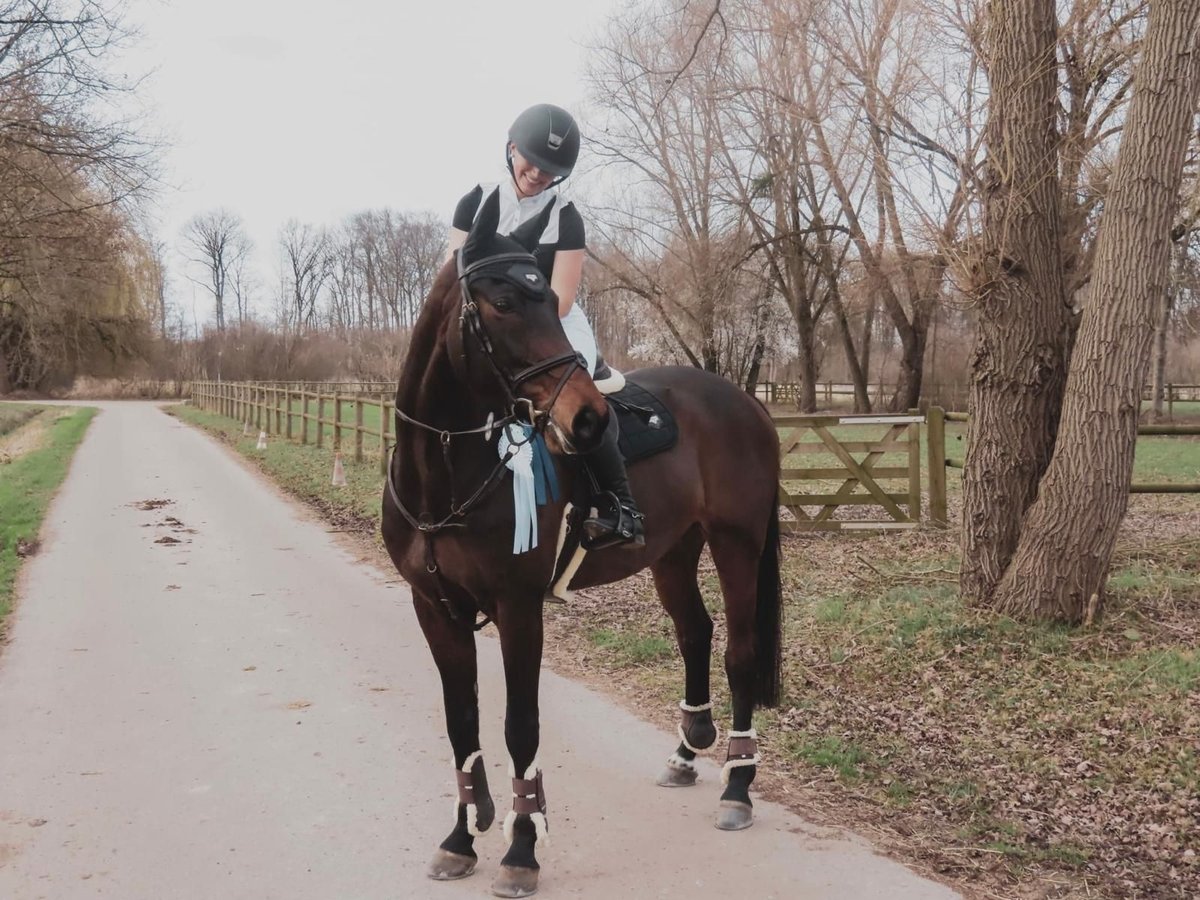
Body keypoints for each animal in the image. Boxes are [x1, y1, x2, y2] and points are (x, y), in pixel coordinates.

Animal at [379, 188, 782, 897]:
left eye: (548, 296)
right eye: (502, 302)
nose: (589, 419)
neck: (443, 479)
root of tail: (747, 402)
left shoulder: (518, 609)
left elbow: (520, 726)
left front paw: (521, 848)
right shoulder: (434, 609)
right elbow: (461, 723)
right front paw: (462, 836)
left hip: (737, 544)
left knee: (738, 651)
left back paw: (737, 786)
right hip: (674, 551)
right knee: (695, 632)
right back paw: (687, 751)